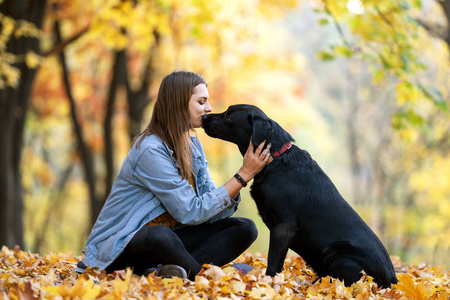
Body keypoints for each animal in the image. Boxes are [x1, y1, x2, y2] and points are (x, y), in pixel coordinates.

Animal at [203, 104, 398, 288]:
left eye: (229, 116)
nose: (204, 117)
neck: (275, 158)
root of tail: (392, 279)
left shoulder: (284, 226)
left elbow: (273, 262)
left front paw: (269, 283)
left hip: (339, 256)